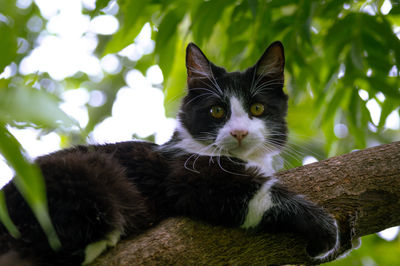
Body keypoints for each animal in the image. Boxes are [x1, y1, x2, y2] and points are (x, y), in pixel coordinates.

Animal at [0, 40, 340, 264]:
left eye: (257, 108)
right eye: (217, 111)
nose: (239, 132)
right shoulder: (188, 177)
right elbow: (259, 194)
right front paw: (323, 226)